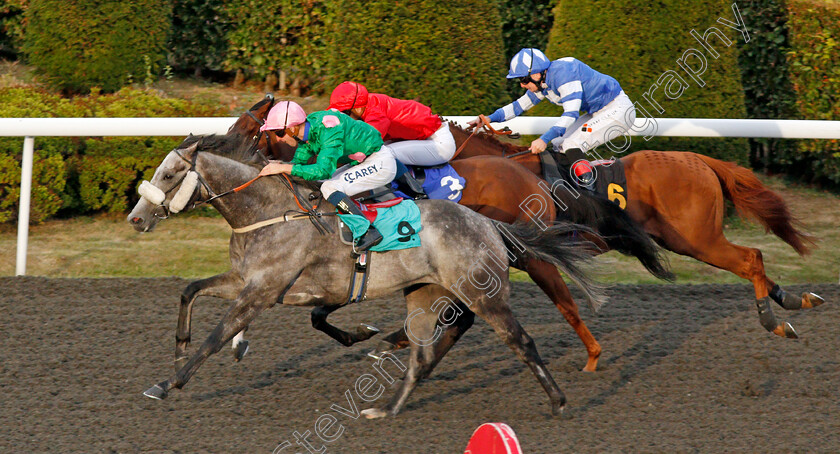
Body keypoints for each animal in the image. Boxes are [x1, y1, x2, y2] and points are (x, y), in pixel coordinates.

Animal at [126, 135, 604, 418]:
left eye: (168, 174)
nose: (136, 218)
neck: (268, 213)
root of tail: (486, 223)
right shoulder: (249, 282)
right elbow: (190, 291)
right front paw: (178, 351)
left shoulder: (262, 291)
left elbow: (216, 338)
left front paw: (169, 383)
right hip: (424, 294)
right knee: (423, 352)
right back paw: (388, 409)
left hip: (482, 292)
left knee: (520, 339)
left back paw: (559, 401)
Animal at [215, 94, 668, 370]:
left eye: (248, 132)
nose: (212, 150)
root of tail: (529, 173)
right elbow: (315, 308)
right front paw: (239, 341)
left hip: (521, 254)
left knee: (561, 301)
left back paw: (592, 353)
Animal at [450, 122, 824, 338]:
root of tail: (698, 159)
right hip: (686, 240)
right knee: (751, 263)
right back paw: (796, 299)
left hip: (697, 239)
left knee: (751, 258)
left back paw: (773, 322)